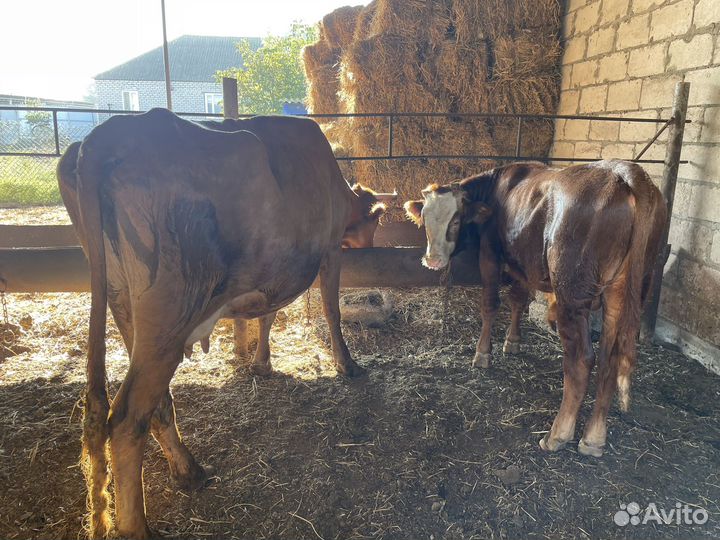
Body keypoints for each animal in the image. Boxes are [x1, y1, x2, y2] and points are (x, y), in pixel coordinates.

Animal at [57, 108, 389, 539]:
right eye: (375, 224)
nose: (373, 246)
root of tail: (107, 134)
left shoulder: (273, 273)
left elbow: (267, 315)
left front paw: (262, 363)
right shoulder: (329, 249)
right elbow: (330, 310)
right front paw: (346, 364)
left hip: (124, 305)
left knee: (152, 403)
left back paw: (188, 470)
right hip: (170, 311)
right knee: (128, 419)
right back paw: (138, 526)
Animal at [404, 160, 667, 457]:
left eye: (456, 219)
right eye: (425, 219)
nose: (433, 260)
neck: (496, 188)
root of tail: (624, 172)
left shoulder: (490, 253)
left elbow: (490, 305)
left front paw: (483, 354)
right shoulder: (521, 264)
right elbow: (518, 300)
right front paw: (513, 342)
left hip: (572, 295)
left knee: (581, 360)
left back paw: (558, 435)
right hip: (623, 293)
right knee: (608, 360)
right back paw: (593, 438)